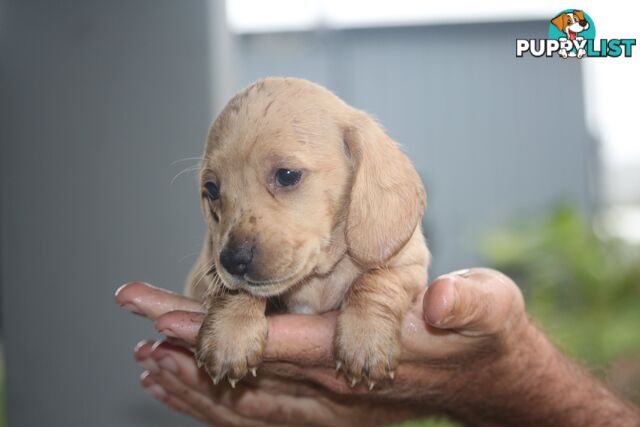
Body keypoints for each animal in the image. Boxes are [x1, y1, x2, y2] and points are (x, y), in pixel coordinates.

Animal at [188, 75, 432, 390]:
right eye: (212, 190)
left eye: (286, 175)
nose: (232, 261)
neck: (318, 277)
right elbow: (234, 291)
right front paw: (230, 332)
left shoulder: (410, 265)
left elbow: (376, 281)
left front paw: (364, 339)